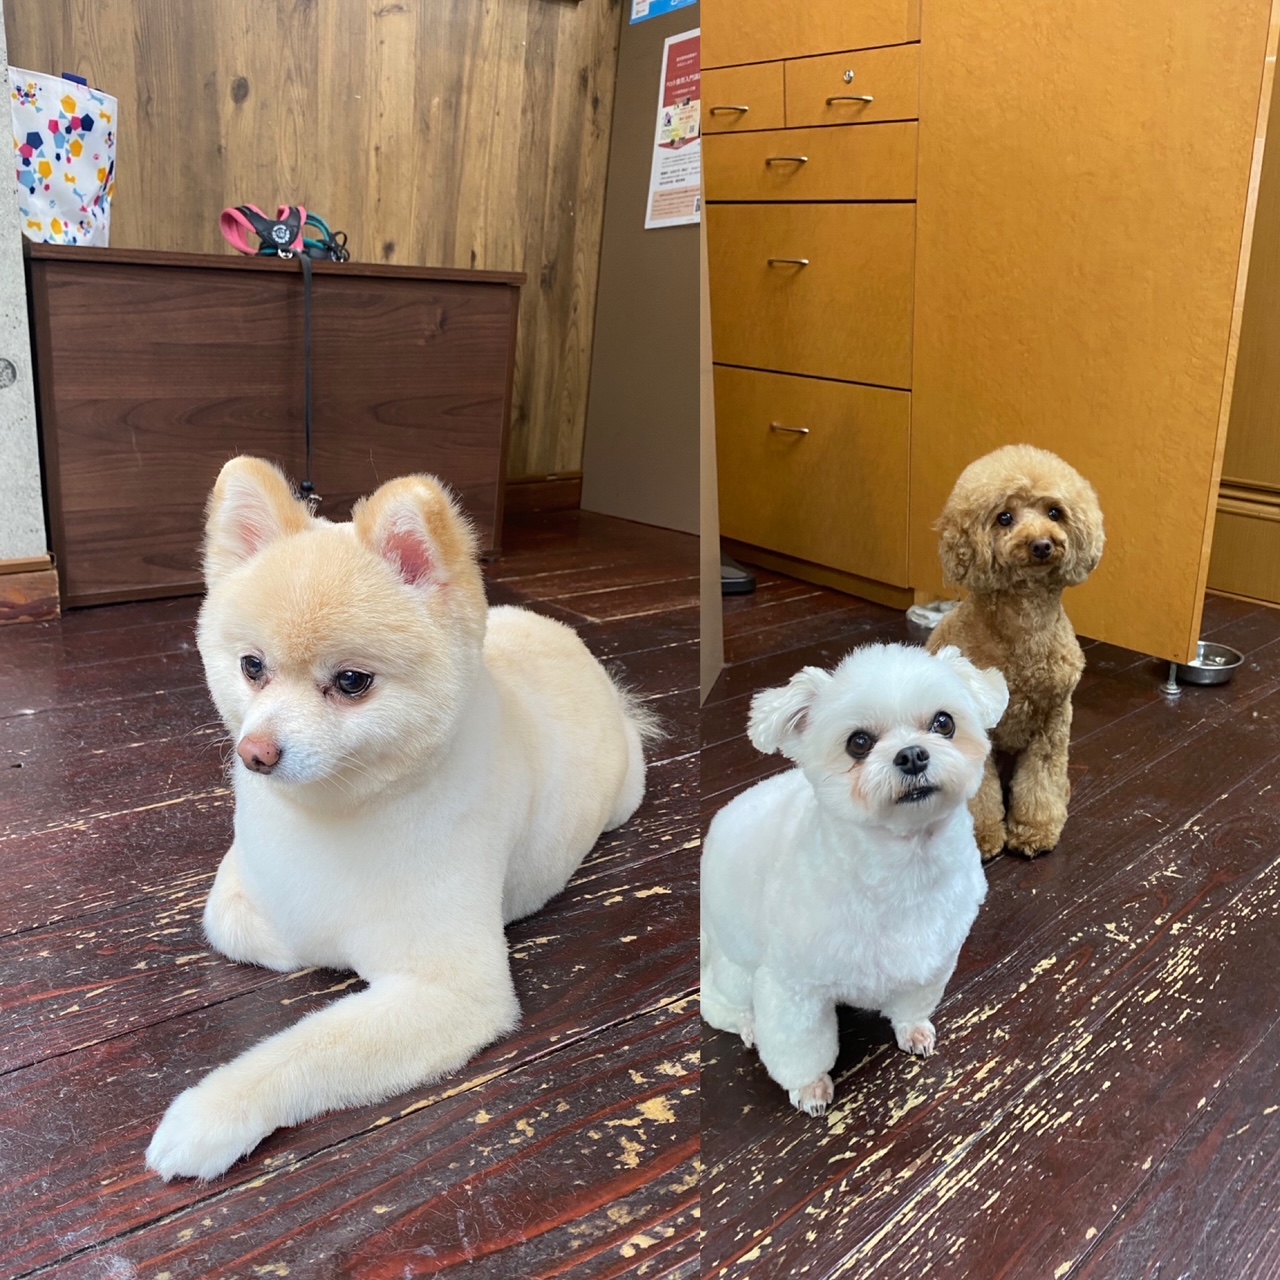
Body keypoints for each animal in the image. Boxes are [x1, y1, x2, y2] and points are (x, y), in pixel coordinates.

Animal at [146, 457, 654, 1180]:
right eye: (251, 667)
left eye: (352, 682)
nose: (255, 753)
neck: (339, 811)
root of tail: (573, 639)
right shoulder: (242, 880)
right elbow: (243, 925)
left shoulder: (454, 992)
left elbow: (309, 1047)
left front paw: (211, 1114)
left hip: (625, 795)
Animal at [700, 642, 1008, 1116]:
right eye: (858, 743)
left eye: (944, 722)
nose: (913, 754)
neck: (904, 869)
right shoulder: (792, 988)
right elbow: (800, 1047)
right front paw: (809, 1088)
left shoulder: (933, 958)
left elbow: (912, 1004)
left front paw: (913, 1029)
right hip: (736, 970)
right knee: (718, 1005)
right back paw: (748, 1024)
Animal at [928, 444, 1105, 859]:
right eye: (1004, 518)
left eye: (1054, 512)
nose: (1042, 544)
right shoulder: (975, 732)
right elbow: (981, 795)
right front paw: (982, 838)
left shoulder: (1052, 723)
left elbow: (1041, 781)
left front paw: (1035, 830)